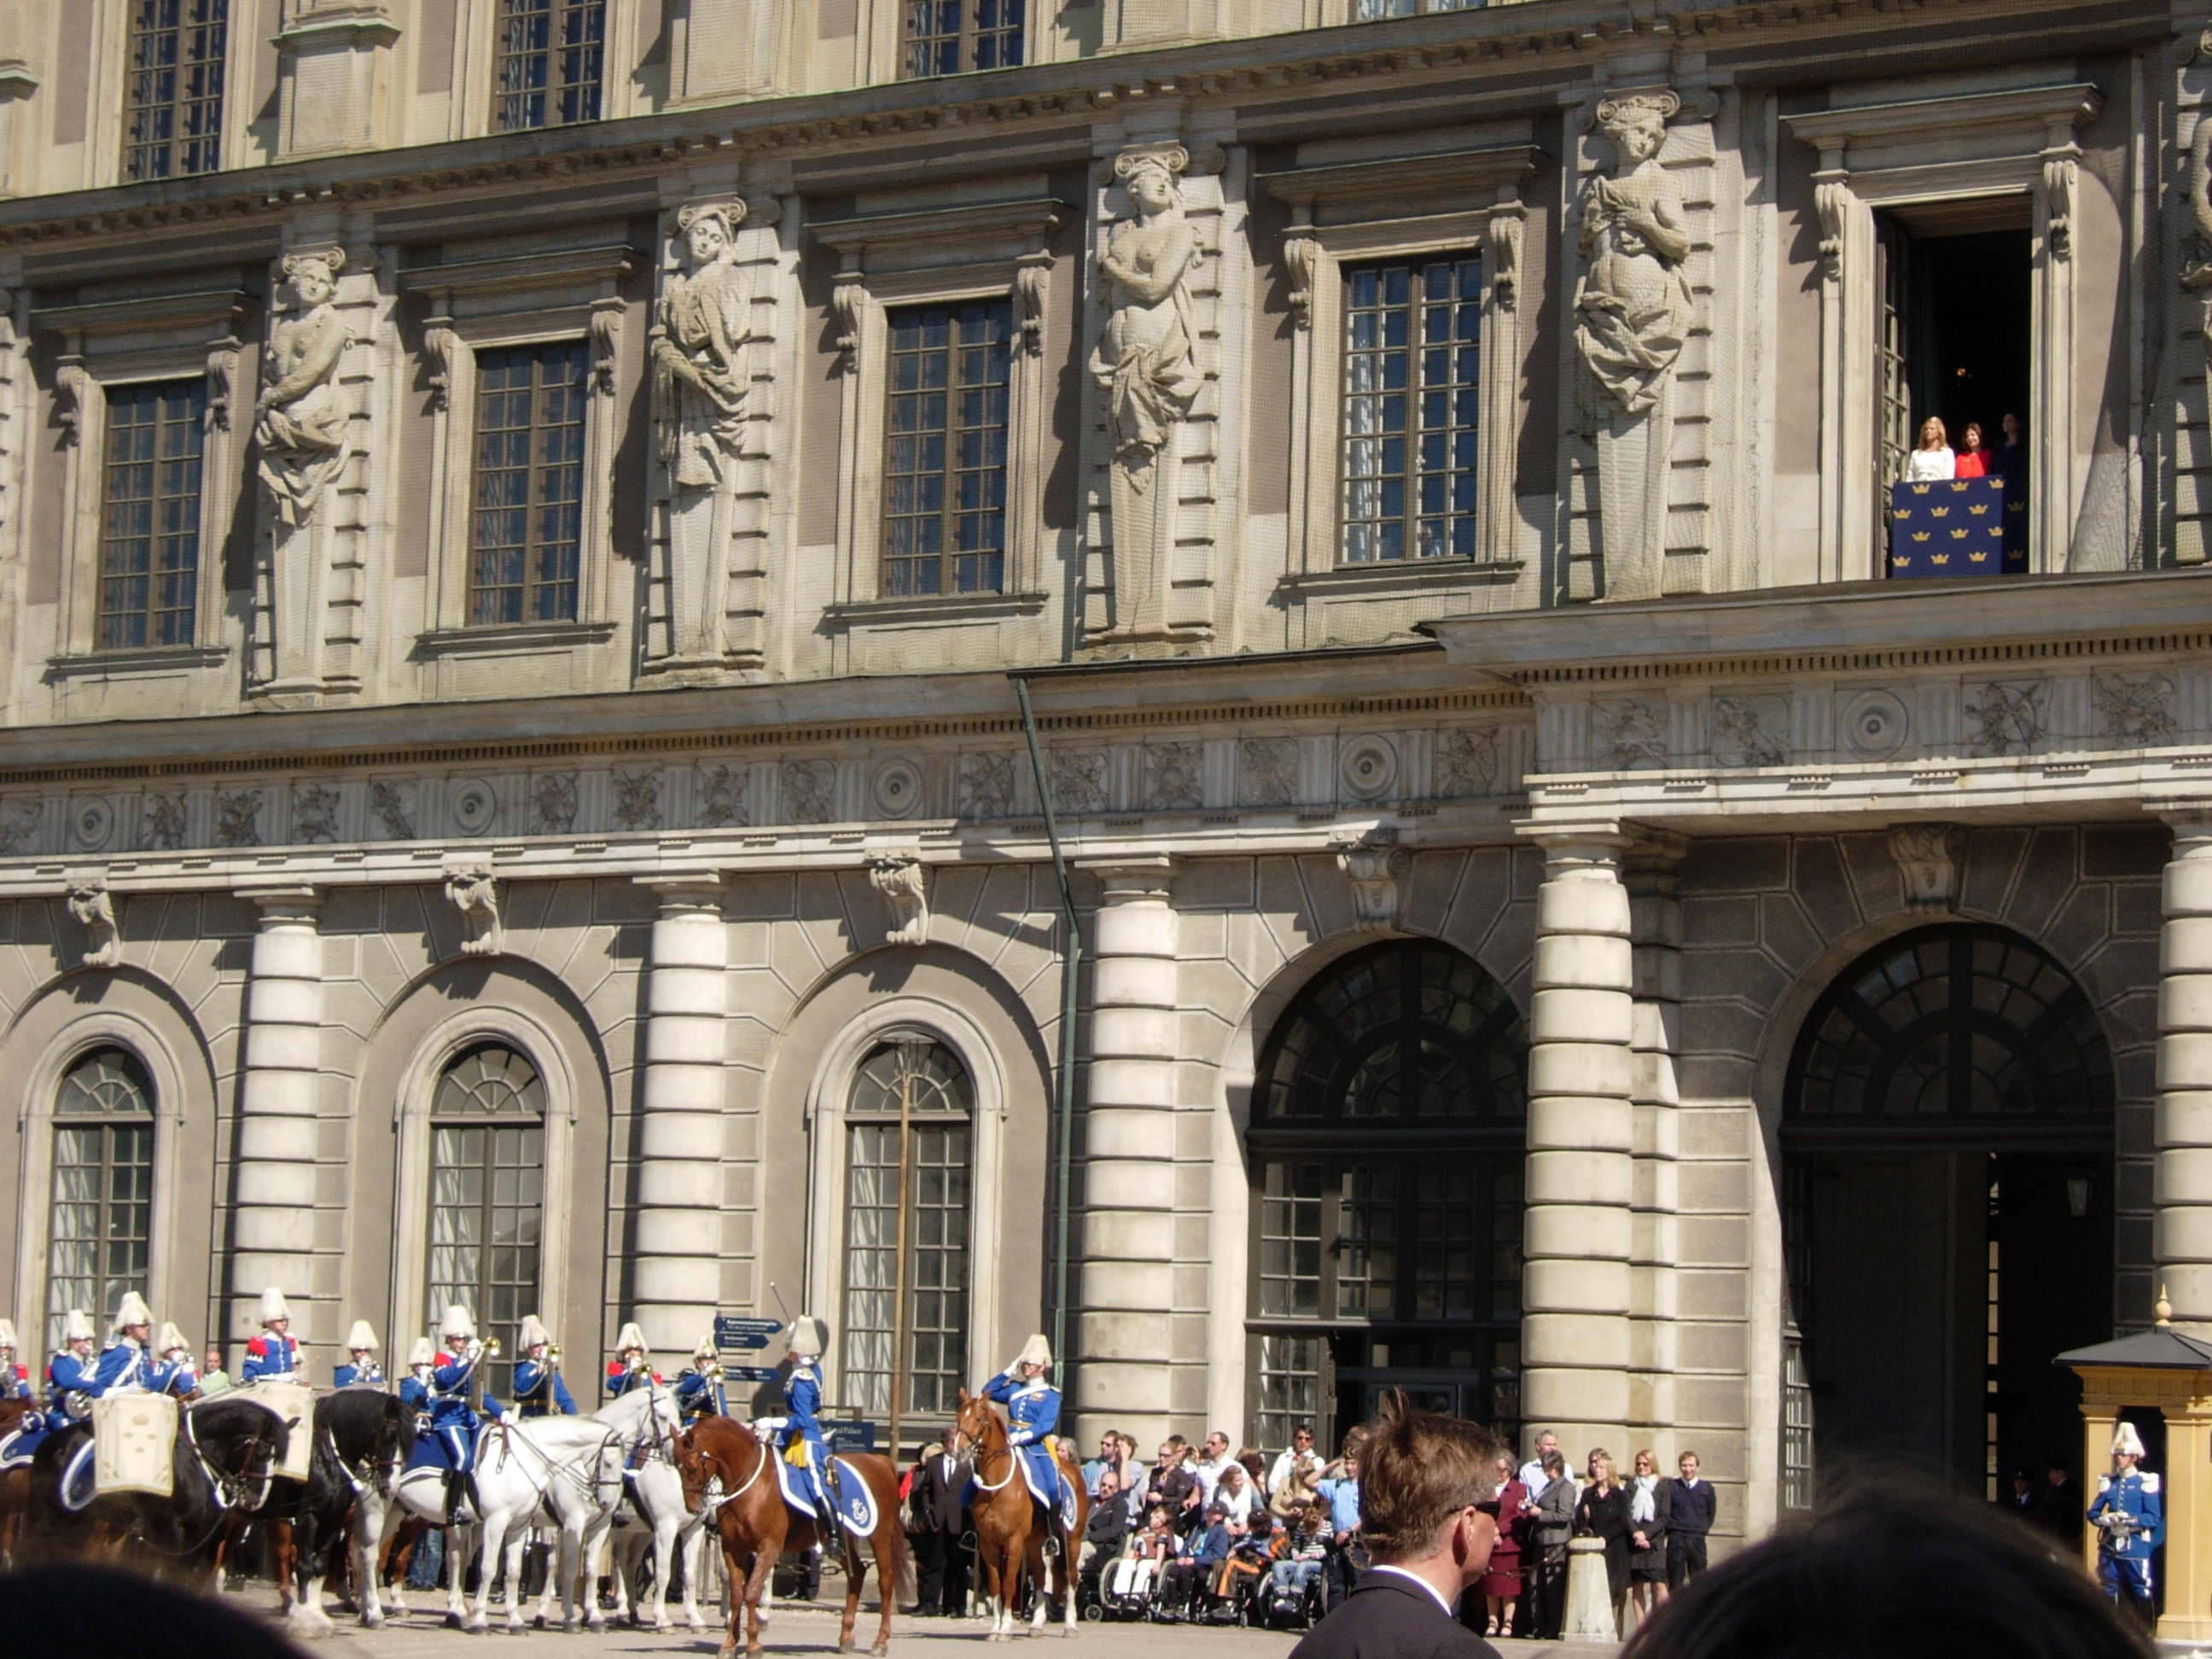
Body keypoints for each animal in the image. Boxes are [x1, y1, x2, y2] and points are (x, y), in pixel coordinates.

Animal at [677, 1415, 911, 1659]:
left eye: (692, 1467)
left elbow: (751, 1592)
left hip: (879, 1535)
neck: (751, 1483)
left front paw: (753, 1644)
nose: (693, 1508)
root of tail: (880, 1461)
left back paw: (881, 1641)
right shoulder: (733, 1549)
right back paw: (846, 1637)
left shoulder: (768, 1548)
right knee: (857, 1574)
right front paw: (730, 1644)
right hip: (842, 1542)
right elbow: (736, 1595)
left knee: (886, 1582)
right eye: (675, 1464)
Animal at [951, 1398, 1088, 1645]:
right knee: (1042, 1576)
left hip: (1072, 1539)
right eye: (958, 1418)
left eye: (978, 1419)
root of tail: (1073, 1470)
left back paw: (1070, 1625)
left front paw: (1005, 1628)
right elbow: (996, 1585)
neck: (996, 1487)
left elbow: (1008, 1584)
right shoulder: (988, 1544)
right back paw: (1036, 1624)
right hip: (1034, 1542)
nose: (960, 1450)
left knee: (1071, 1577)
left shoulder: (1013, 1542)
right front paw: (995, 1628)